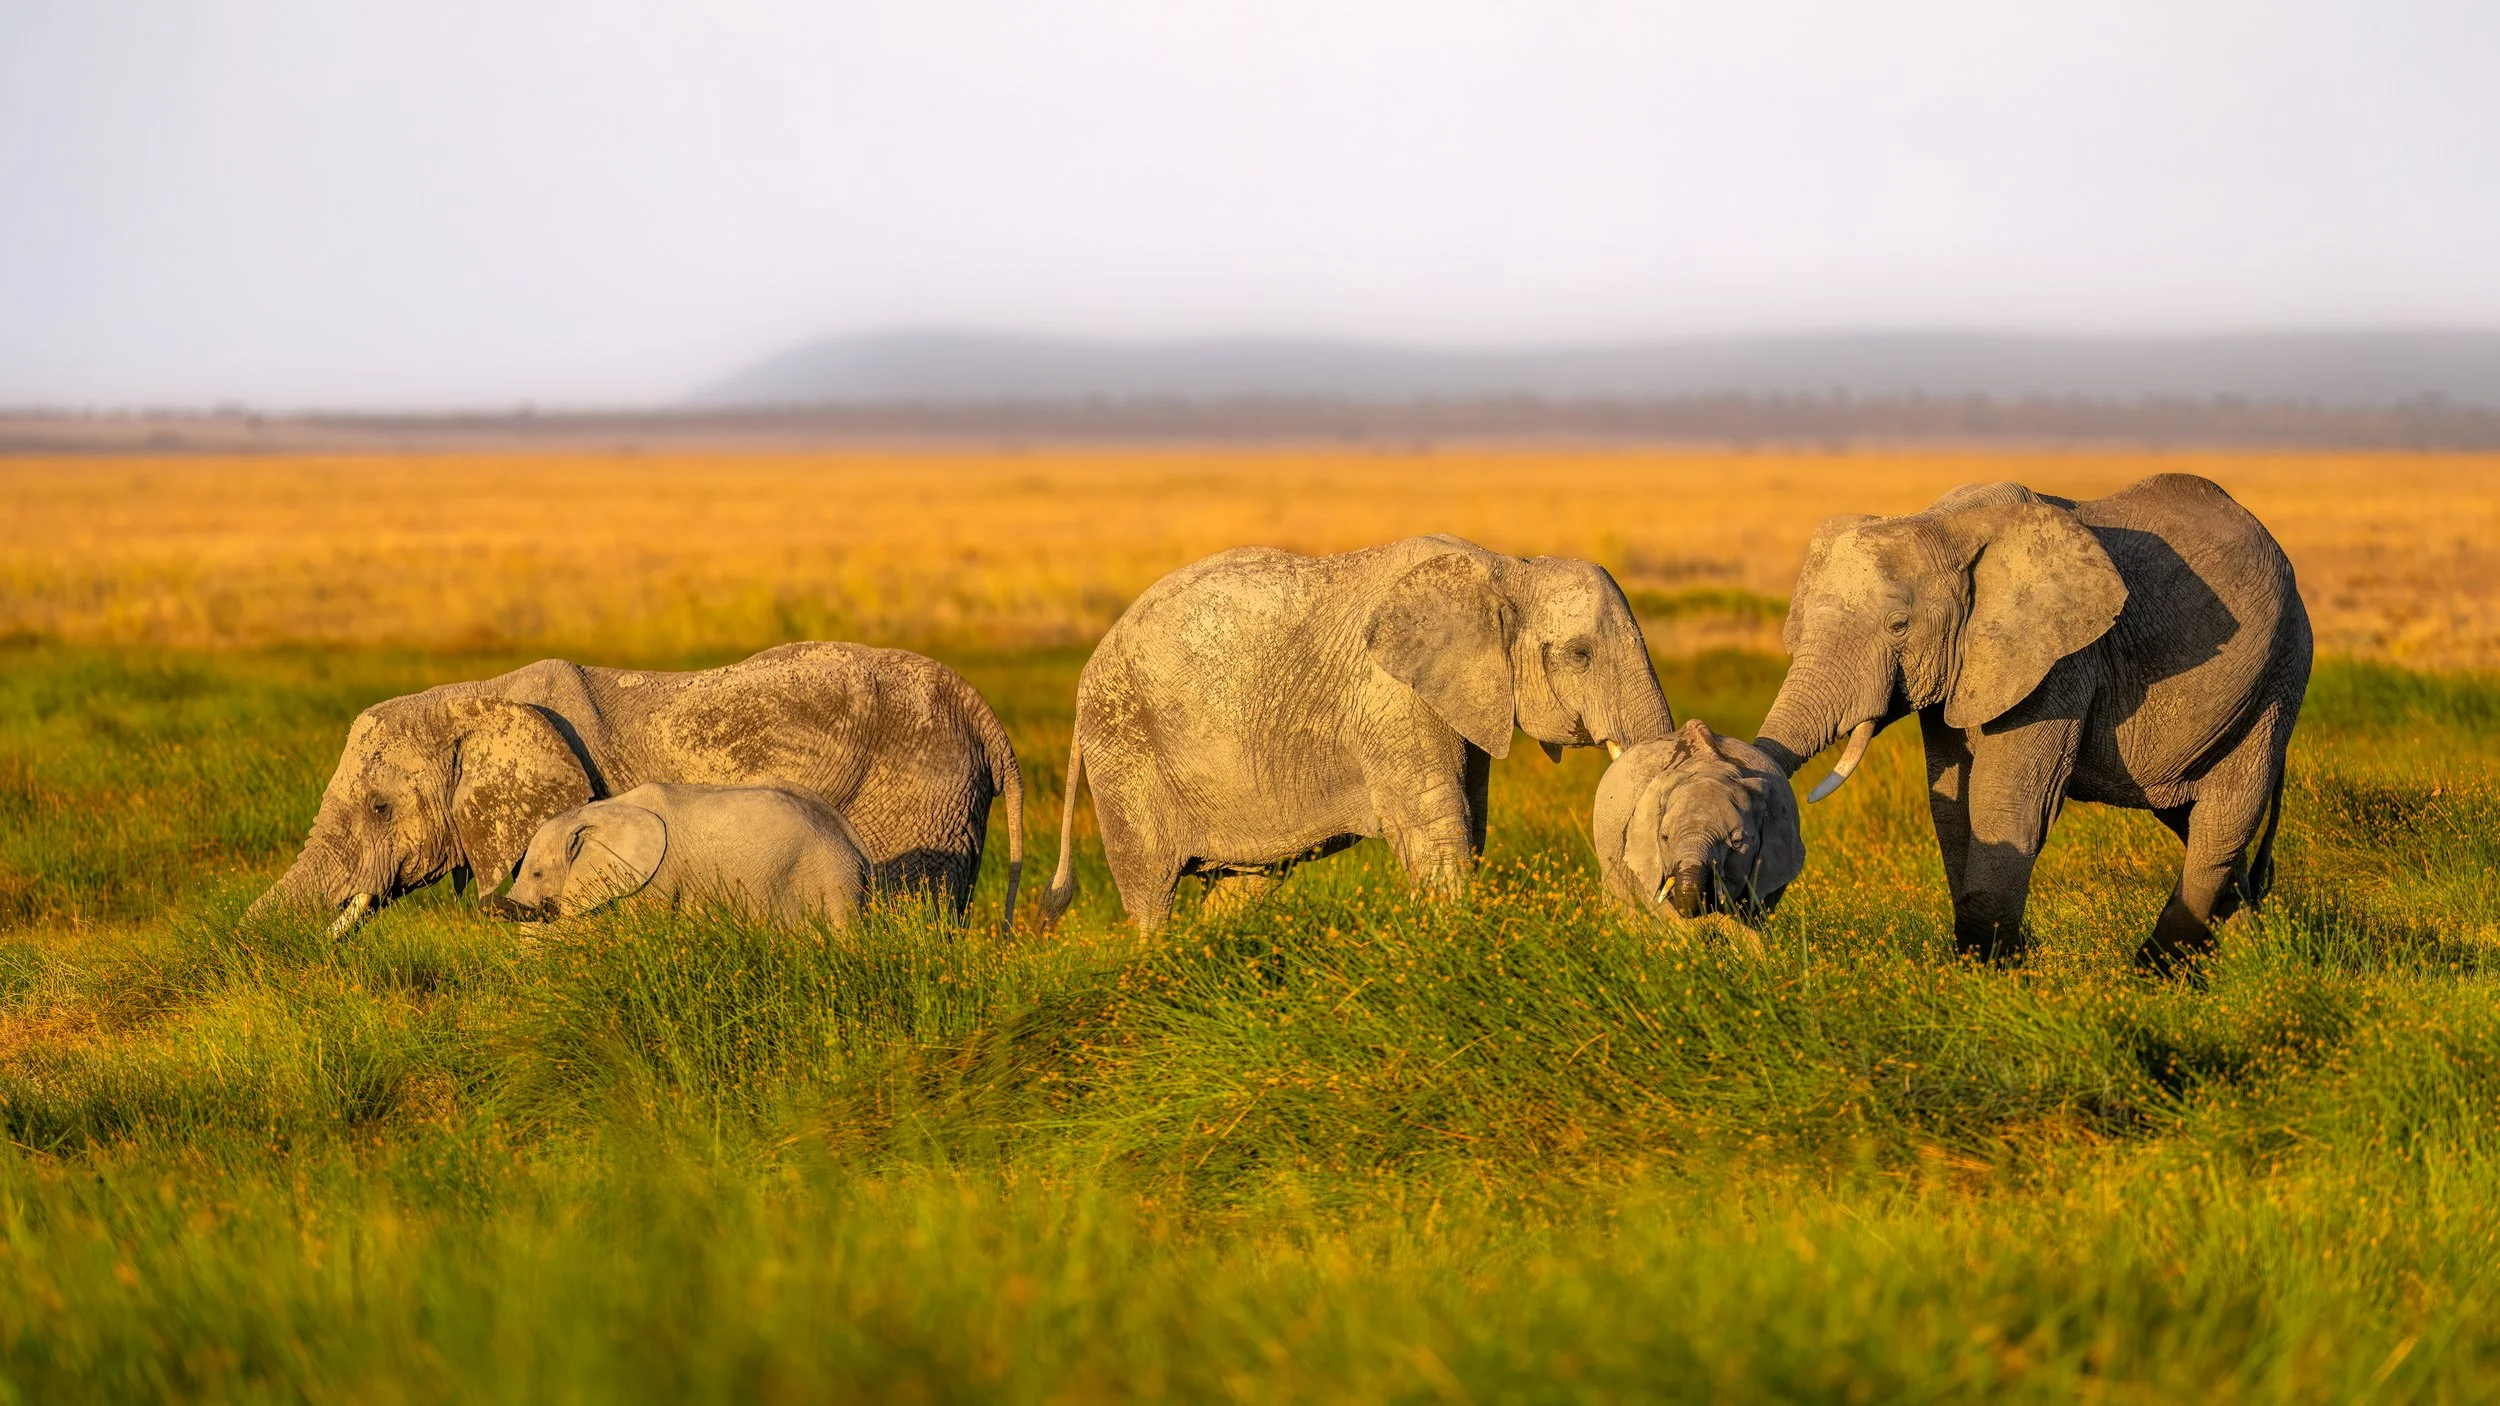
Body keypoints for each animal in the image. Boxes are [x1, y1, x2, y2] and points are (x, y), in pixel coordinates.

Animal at [1039, 534, 1675, 932]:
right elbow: (1435, 836)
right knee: (1151, 891)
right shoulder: (1393, 700)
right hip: (1125, 749)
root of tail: (1087, 673)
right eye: (1580, 655)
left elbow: (1470, 824)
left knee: (1243, 884)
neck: (1508, 567)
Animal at [1754, 474, 2310, 972]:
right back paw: (2245, 962)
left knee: (2223, 818)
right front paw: (1995, 966)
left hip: (2277, 679)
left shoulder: (2061, 661)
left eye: (1898, 627)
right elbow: (1950, 806)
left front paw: (1997, 975)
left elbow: (2006, 801)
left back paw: (2158, 973)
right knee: (2194, 821)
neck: (1943, 524)